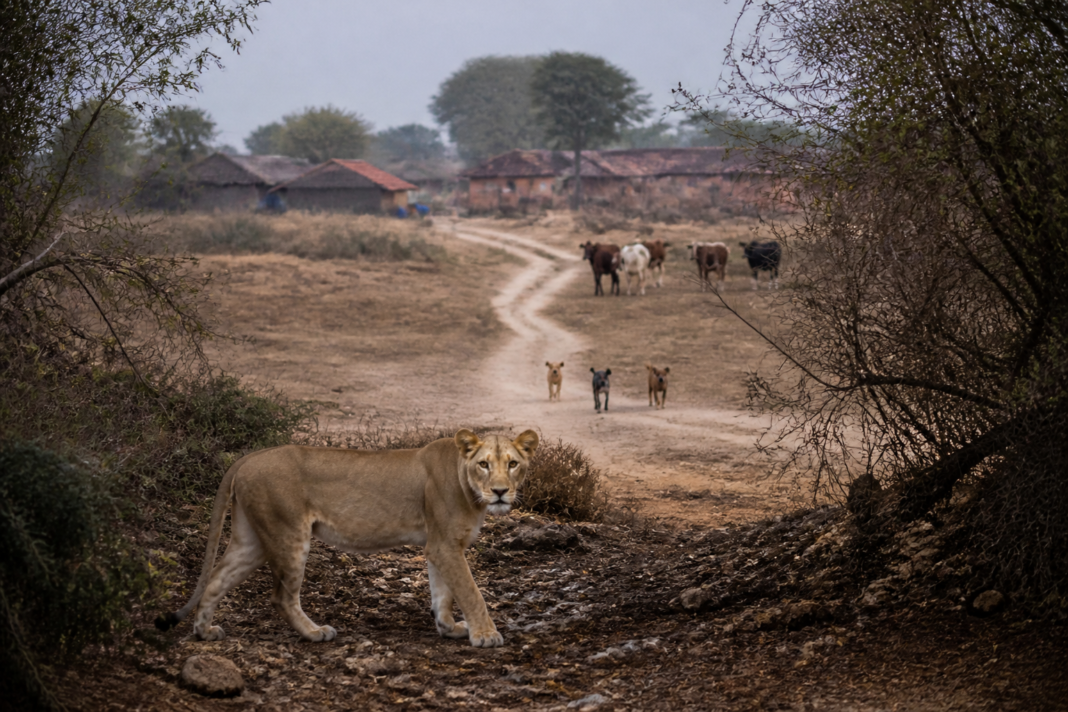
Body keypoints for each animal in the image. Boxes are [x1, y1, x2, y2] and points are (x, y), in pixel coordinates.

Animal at [156, 428, 539, 647]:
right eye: (484, 464)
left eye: (513, 464)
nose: (501, 492)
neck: (467, 484)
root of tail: (250, 456)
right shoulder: (445, 546)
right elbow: (471, 593)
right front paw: (486, 636)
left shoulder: (439, 546)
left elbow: (442, 592)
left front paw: (449, 628)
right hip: (289, 533)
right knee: (281, 596)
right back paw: (315, 633)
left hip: (251, 539)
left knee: (216, 578)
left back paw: (204, 632)